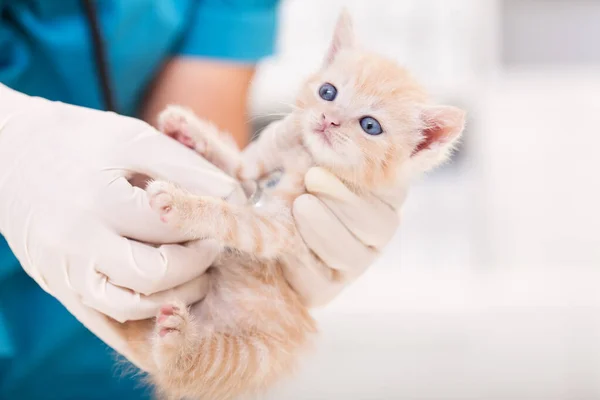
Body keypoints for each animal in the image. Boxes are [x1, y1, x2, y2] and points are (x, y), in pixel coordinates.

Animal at [113, 9, 468, 400]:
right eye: (328, 92)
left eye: (370, 126)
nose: (329, 119)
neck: (305, 157)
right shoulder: (252, 171)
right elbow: (236, 169)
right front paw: (187, 131)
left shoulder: (278, 228)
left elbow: (232, 216)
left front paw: (180, 204)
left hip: (253, 356)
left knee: (187, 367)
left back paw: (177, 340)